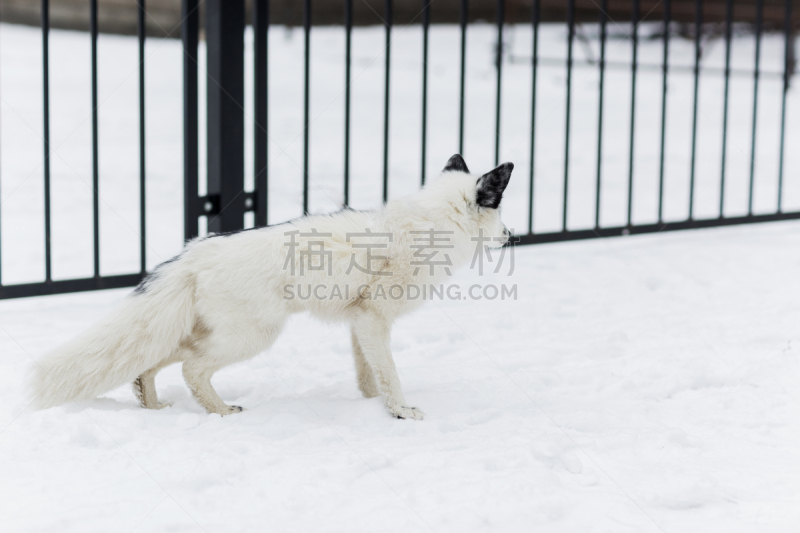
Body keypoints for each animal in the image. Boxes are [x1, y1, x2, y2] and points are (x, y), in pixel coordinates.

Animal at [29, 155, 512, 420]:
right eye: (500, 211)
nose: (511, 236)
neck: (428, 227)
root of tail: (195, 252)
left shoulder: (360, 323)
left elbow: (369, 377)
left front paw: (372, 407)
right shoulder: (374, 320)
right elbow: (389, 374)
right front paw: (400, 412)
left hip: (205, 333)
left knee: (152, 362)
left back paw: (153, 407)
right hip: (252, 337)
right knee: (191, 369)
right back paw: (222, 412)